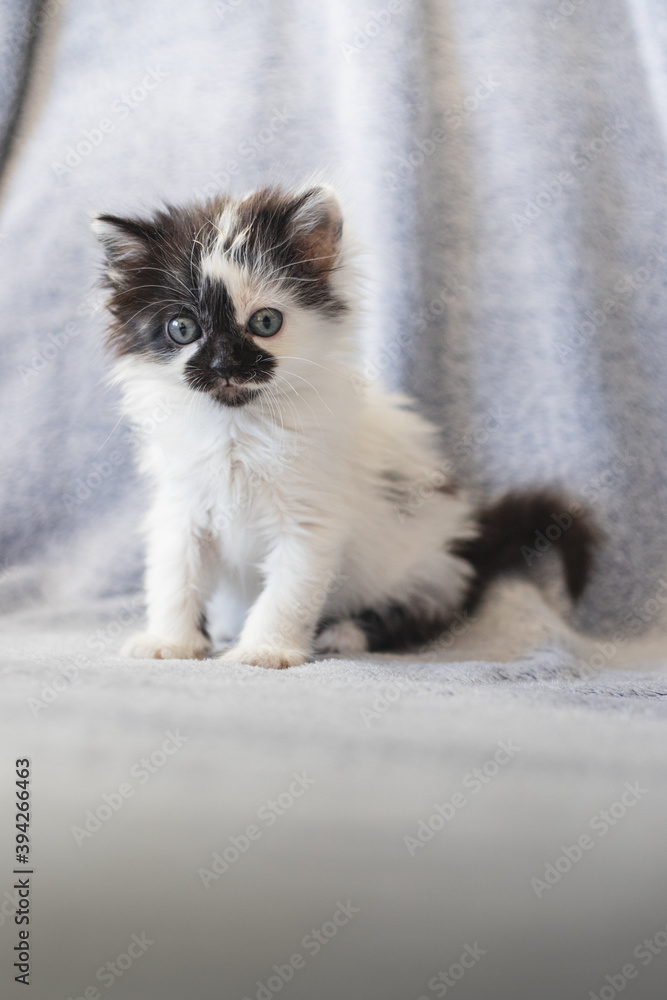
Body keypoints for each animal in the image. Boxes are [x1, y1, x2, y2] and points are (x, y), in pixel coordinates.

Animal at [91, 184, 596, 668]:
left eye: (266, 322)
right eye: (182, 329)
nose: (224, 364)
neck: (239, 427)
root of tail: (470, 541)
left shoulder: (311, 519)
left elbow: (287, 593)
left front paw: (266, 651)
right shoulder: (182, 509)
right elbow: (175, 578)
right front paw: (170, 643)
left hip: (429, 568)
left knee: (419, 616)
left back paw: (344, 633)